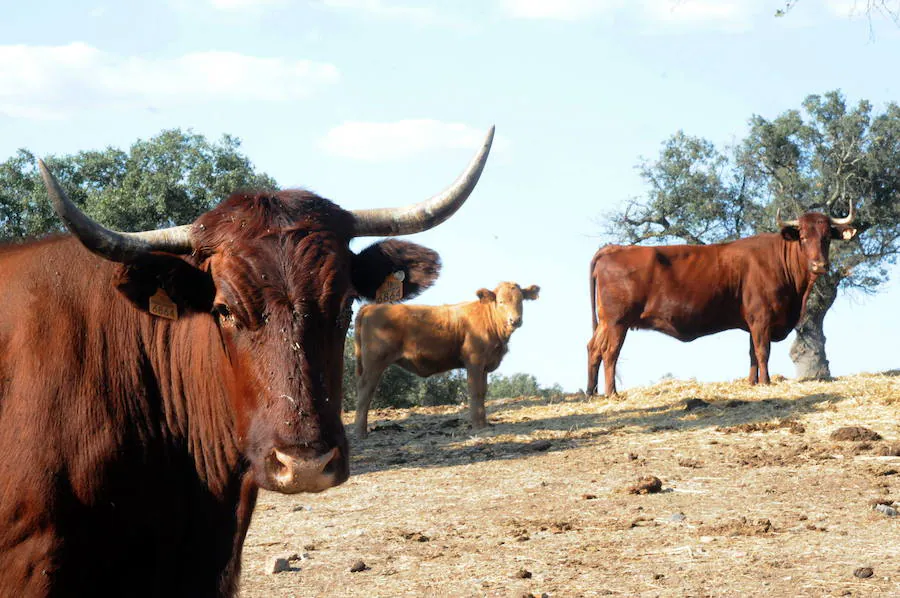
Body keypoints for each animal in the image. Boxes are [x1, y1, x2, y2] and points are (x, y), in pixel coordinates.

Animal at [352, 282, 536, 436]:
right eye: (501, 302)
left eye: (521, 300)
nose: (515, 320)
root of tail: (371, 307)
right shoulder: (474, 361)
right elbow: (475, 392)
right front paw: (478, 426)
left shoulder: (484, 364)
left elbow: (483, 392)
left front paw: (483, 424)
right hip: (374, 362)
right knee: (365, 390)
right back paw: (360, 432)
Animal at [588, 206, 856, 398]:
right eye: (802, 236)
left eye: (827, 237)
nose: (819, 265)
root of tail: (613, 248)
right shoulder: (762, 318)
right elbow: (762, 351)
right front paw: (766, 382)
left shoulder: (753, 322)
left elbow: (752, 353)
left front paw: (752, 383)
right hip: (617, 322)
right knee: (610, 352)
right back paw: (612, 393)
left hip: (605, 323)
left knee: (593, 349)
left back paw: (591, 392)